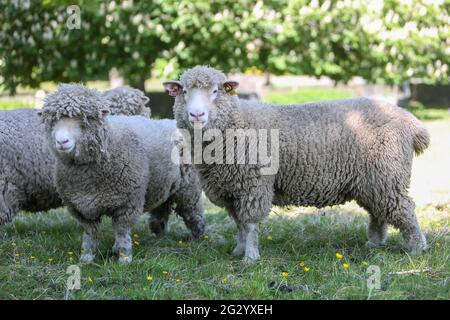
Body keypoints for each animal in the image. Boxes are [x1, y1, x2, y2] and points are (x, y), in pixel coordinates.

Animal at [39, 84, 205, 264]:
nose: (62, 142)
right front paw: (87, 257)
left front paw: (124, 258)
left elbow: (122, 232)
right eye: (51, 120)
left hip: (189, 188)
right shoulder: (81, 207)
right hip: (164, 184)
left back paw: (198, 237)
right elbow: (90, 234)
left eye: (87, 118)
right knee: (162, 209)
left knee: (192, 212)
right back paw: (158, 234)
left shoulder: (127, 204)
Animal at [163, 65, 430, 262]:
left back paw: (417, 248)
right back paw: (374, 243)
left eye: (216, 91)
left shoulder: (254, 185)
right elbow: (239, 224)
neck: (235, 123)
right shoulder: (231, 189)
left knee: (405, 209)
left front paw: (250, 258)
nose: (197, 115)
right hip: (373, 180)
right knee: (378, 212)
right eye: (184, 91)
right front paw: (238, 250)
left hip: (387, 175)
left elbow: (250, 224)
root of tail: (411, 122)